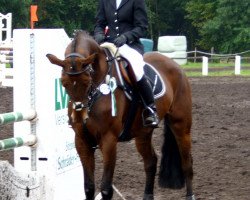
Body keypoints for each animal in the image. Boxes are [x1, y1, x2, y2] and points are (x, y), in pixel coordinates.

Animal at [47, 30, 195, 200]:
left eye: (87, 81)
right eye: (63, 83)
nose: (78, 117)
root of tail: (175, 64)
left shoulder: (109, 140)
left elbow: (106, 188)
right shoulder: (82, 141)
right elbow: (89, 187)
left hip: (180, 125)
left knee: (186, 163)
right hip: (143, 133)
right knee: (151, 162)